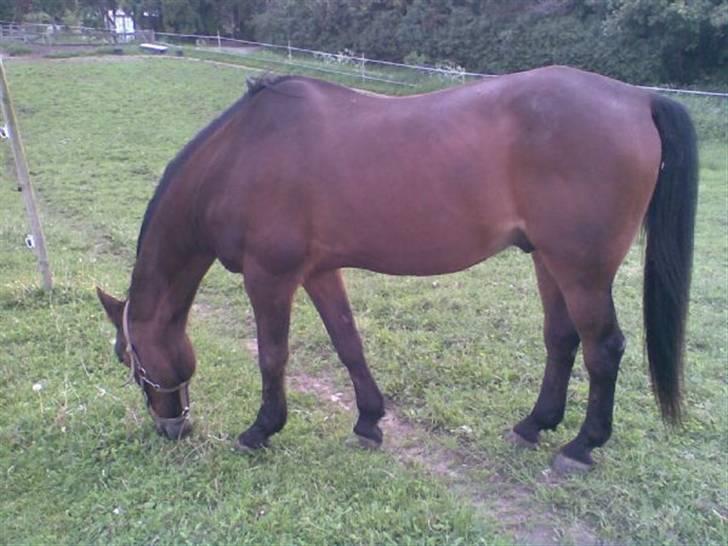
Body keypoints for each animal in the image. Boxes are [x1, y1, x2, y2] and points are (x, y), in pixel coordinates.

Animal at [94, 65, 696, 472]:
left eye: (128, 357)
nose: (171, 427)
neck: (239, 157)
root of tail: (637, 98)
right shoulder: (319, 272)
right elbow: (348, 342)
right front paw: (368, 420)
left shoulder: (270, 277)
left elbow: (272, 356)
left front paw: (261, 430)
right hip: (550, 262)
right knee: (562, 340)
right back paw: (533, 425)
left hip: (582, 270)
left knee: (604, 349)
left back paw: (581, 446)